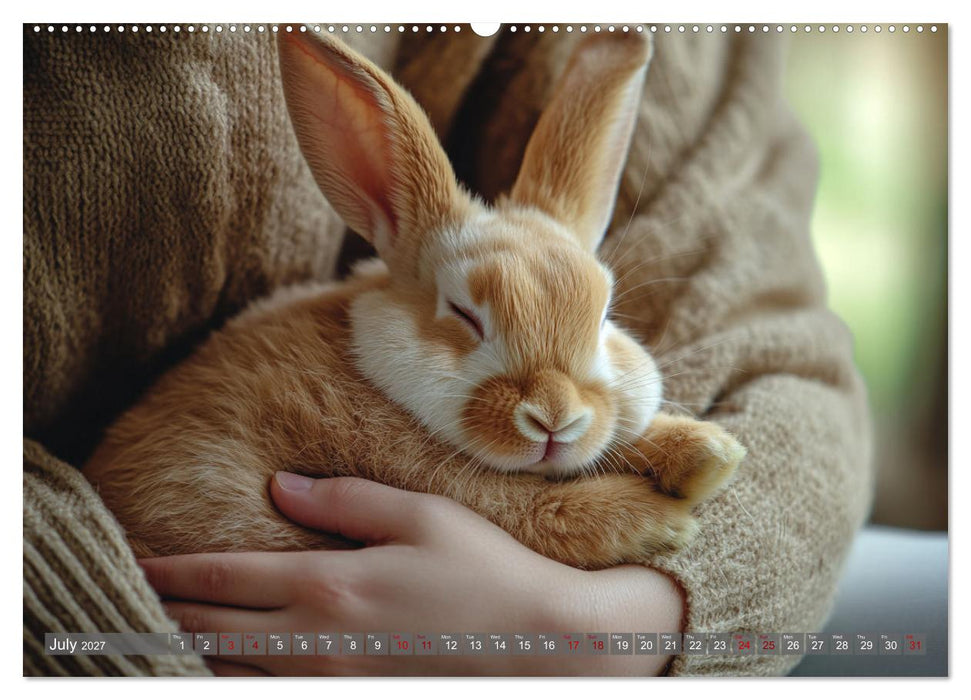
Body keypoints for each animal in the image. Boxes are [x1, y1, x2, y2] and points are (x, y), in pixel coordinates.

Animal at [83, 30, 745, 571]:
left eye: (604, 314)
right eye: (464, 314)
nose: (556, 418)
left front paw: (708, 454)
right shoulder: (430, 479)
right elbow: (537, 511)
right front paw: (661, 520)